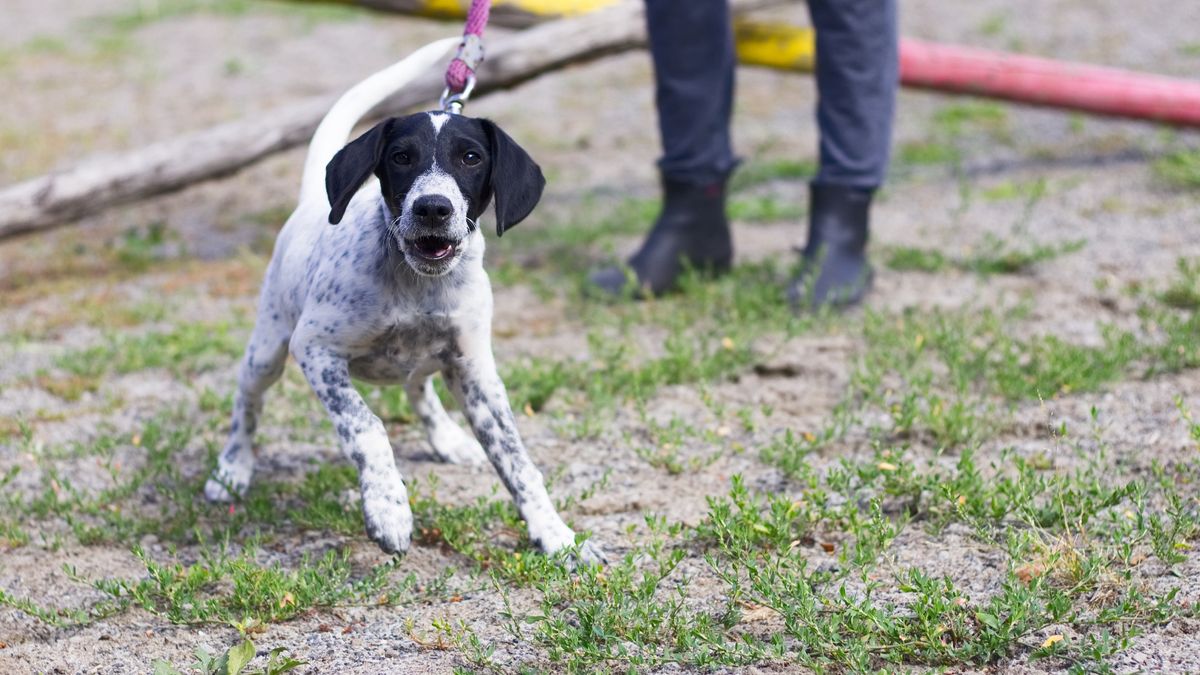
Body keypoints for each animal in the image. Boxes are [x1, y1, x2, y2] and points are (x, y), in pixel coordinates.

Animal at [204, 38, 609, 562]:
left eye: (471, 157)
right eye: (400, 157)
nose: (432, 208)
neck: (418, 284)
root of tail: (311, 202)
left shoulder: (476, 370)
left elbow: (518, 462)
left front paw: (558, 536)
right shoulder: (315, 349)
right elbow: (367, 426)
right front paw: (388, 508)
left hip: (436, 363)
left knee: (420, 388)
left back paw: (447, 439)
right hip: (268, 350)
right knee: (247, 407)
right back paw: (232, 470)